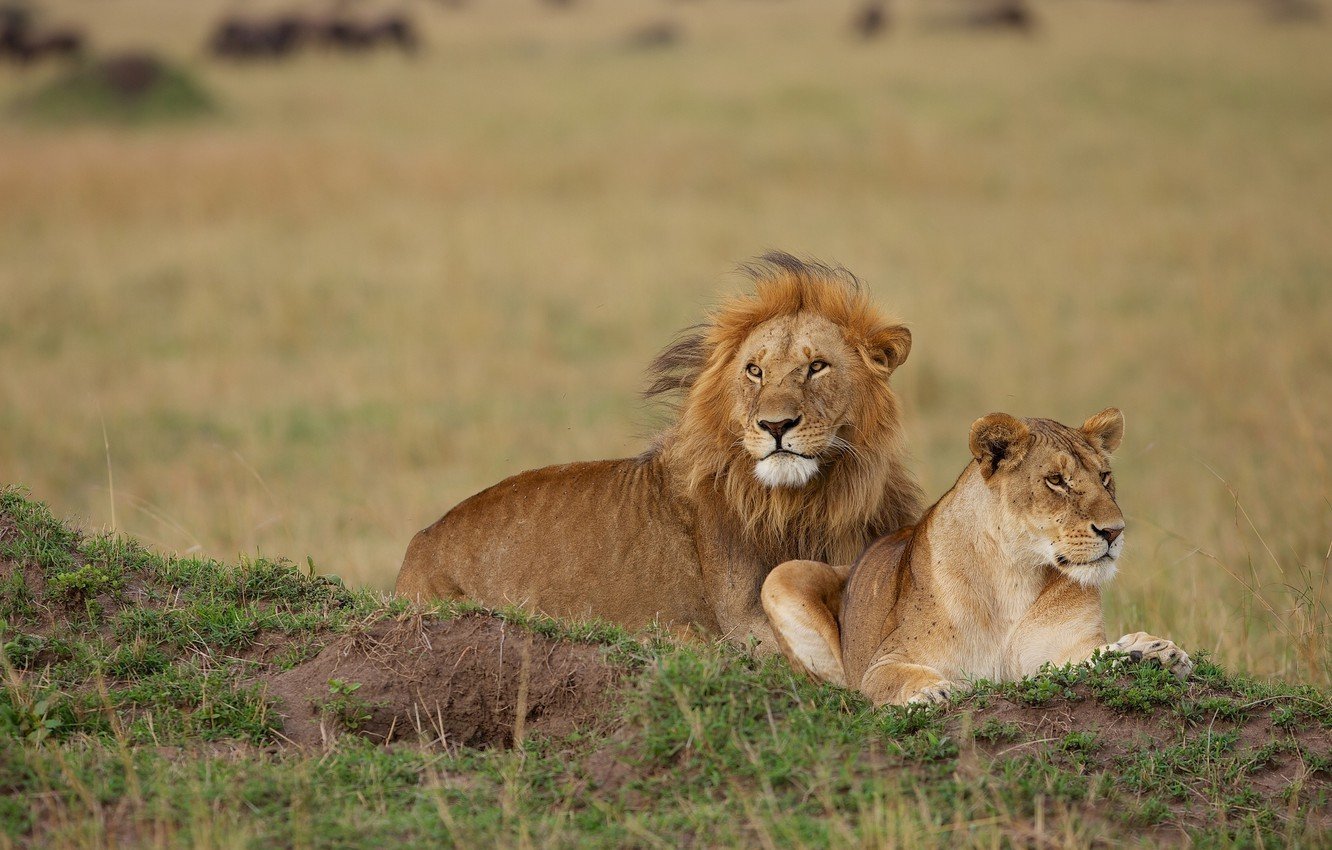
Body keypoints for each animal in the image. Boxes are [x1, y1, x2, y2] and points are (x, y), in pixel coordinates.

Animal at [391, 254, 927, 652]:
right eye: (754, 371)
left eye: (817, 366)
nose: (775, 426)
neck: (815, 500)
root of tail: (418, 545)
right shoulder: (746, 621)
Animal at [767, 407, 1193, 703]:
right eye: (1056, 481)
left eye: (1104, 476)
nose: (1114, 531)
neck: (1015, 574)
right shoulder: (883, 661)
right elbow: (896, 676)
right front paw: (931, 692)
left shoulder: (1061, 652)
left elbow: (1094, 656)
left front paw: (1154, 653)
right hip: (782, 575)